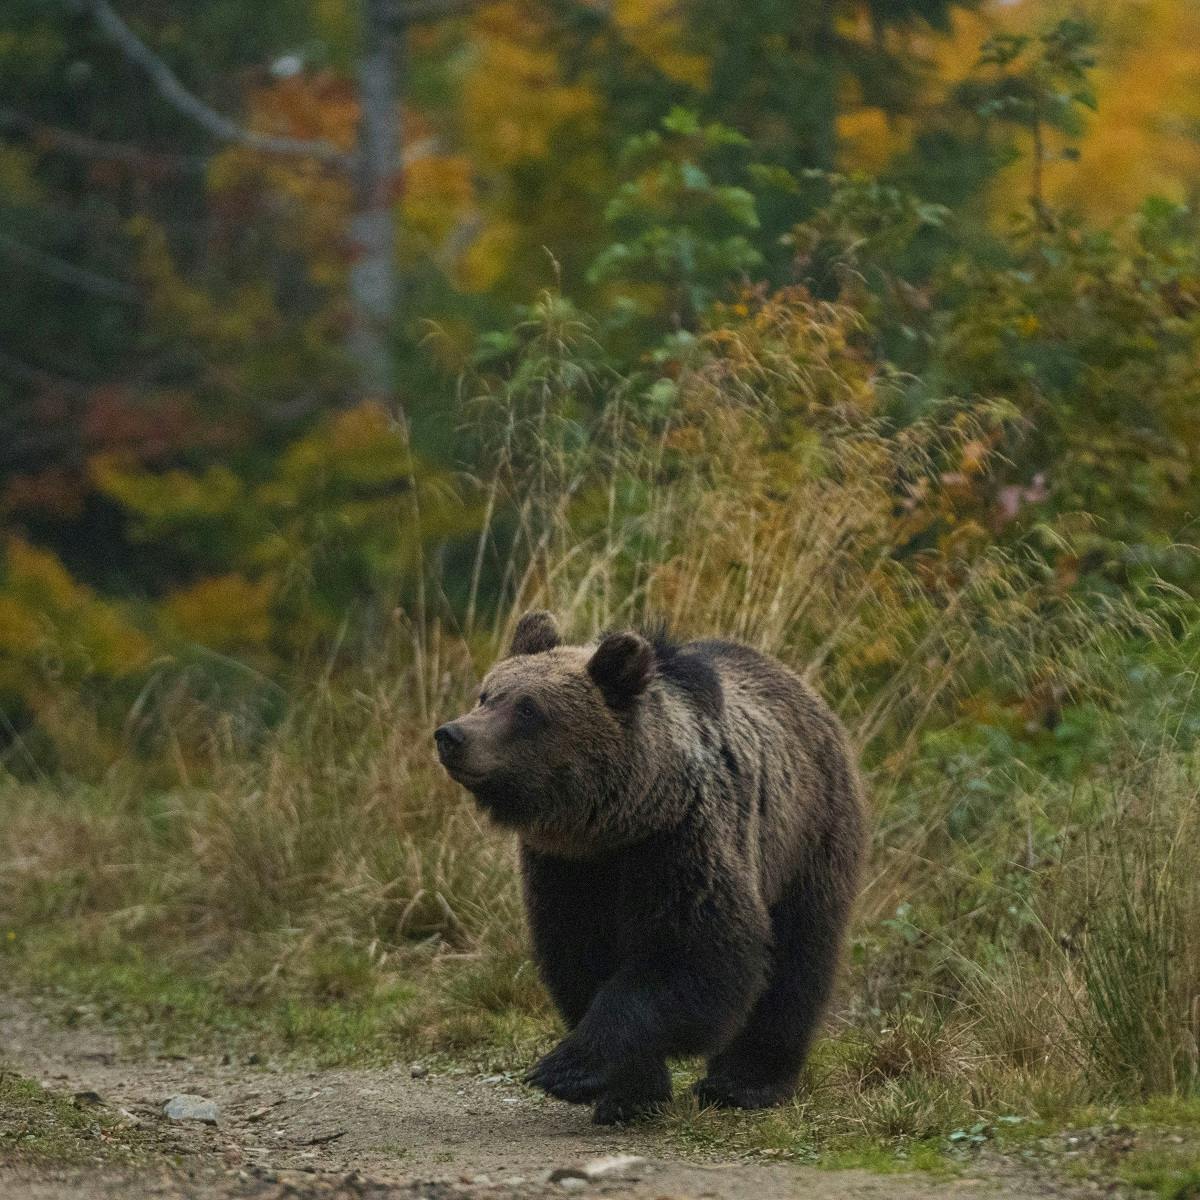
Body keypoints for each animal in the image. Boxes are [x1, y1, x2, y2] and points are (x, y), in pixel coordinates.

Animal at [436, 609, 868, 1123]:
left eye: (527, 709)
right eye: (486, 694)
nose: (452, 735)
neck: (615, 826)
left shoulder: (681, 846)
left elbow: (693, 955)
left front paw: (567, 1068)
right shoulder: (565, 871)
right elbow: (580, 957)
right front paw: (629, 1092)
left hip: (807, 837)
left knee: (798, 960)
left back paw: (746, 1082)